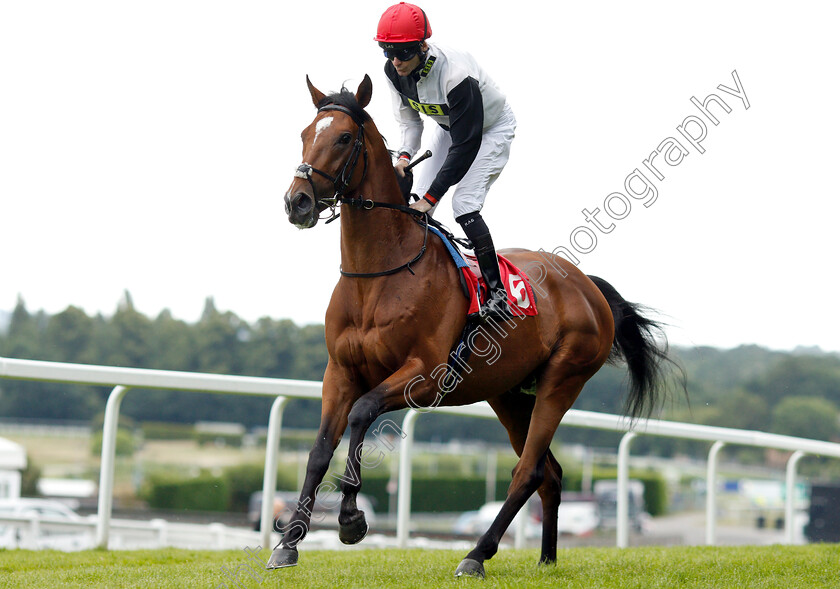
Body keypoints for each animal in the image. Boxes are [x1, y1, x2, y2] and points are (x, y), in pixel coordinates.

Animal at [272, 74, 680, 580]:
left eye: (345, 138)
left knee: (528, 471)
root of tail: (588, 287)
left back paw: (476, 554)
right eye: (306, 133)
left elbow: (363, 413)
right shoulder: (339, 373)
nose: (297, 202)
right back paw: (546, 558)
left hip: (562, 380)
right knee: (550, 473)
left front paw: (350, 520)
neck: (380, 273)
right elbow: (318, 450)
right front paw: (287, 544)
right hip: (507, 394)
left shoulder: (423, 376)